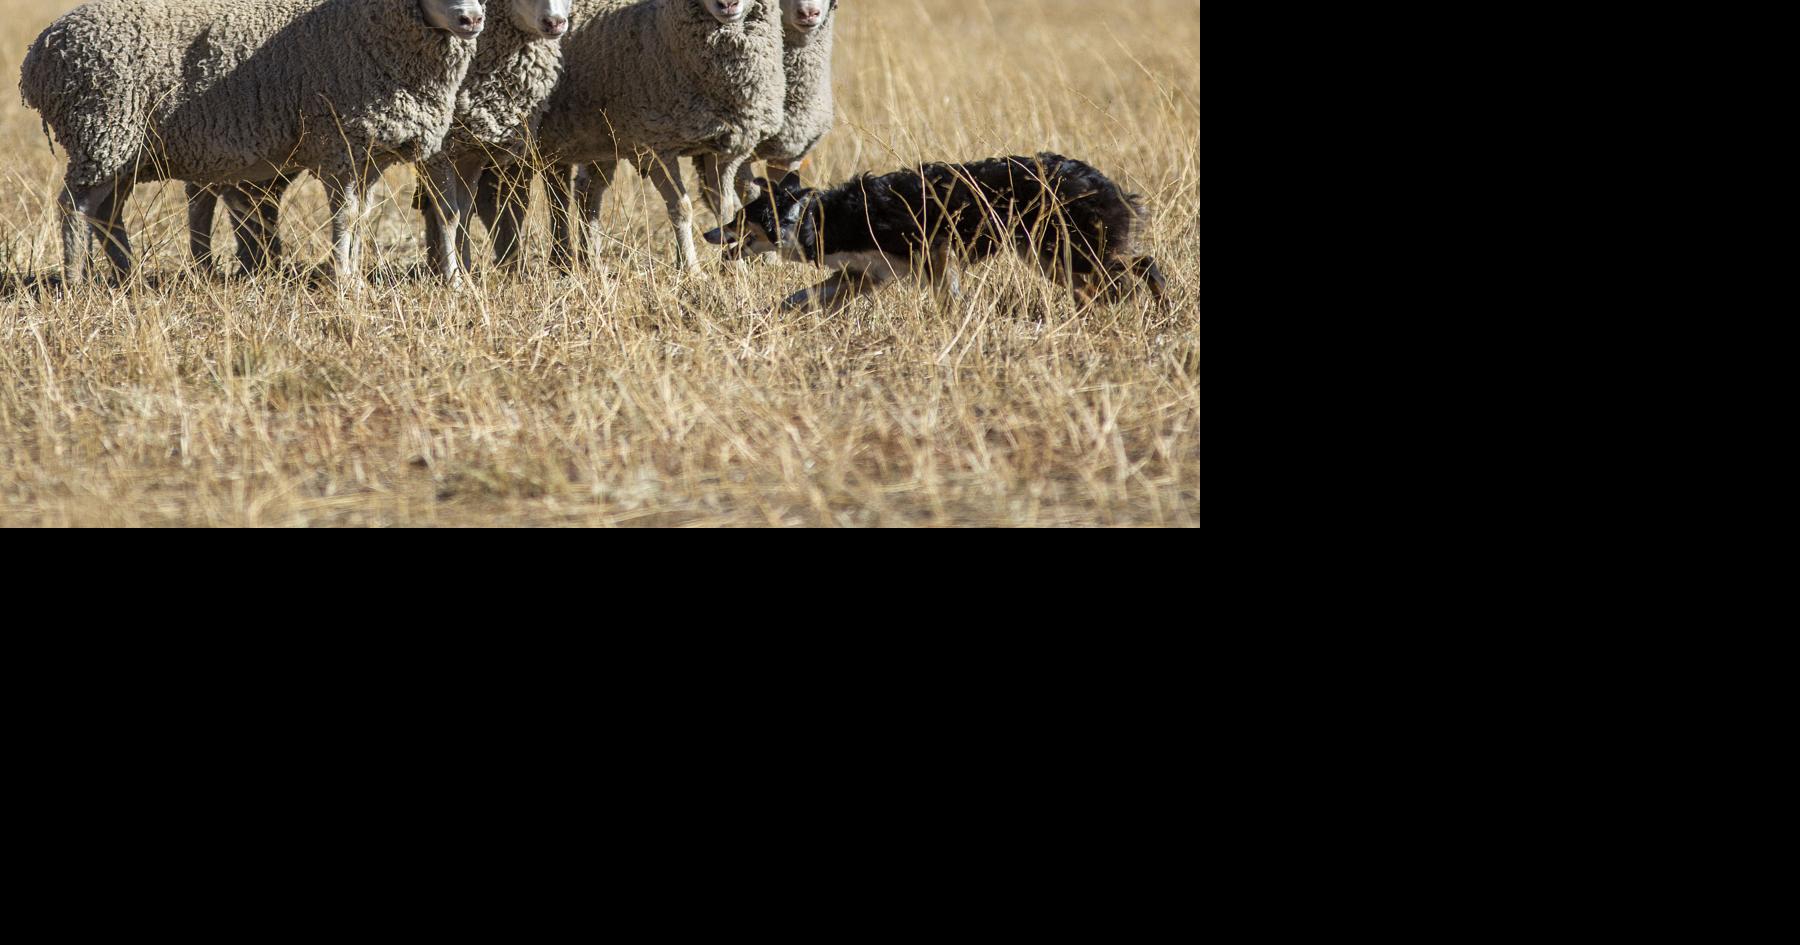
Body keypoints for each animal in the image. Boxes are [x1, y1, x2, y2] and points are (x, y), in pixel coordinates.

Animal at [19, 0, 487, 288]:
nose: (471, 19)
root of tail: (40, 49)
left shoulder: (370, 152)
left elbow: (367, 217)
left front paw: (356, 277)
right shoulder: (339, 143)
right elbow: (345, 217)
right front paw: (344, 282)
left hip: (122, 150)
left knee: (107, 212)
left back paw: (128, 277)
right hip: (101, 129)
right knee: (75, 207)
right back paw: (76, 282)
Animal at [183, 1, 572, 286]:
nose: (555, 23)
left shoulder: (472, 151)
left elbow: (462, 213)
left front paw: (461, 270)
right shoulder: (439, 151)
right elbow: (449, 212)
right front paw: (453, 276)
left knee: (243, 197)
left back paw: (254, 264)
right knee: (206, 195)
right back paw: (211, 267)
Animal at [477, 0, 786, 273]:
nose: (727, 5)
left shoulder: (726, 148)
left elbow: (727, 209)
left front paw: (736, 269)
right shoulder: (657, 146)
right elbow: (681, 208)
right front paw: (692, 269)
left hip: (591, 138)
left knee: (583, 193)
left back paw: (583, 262)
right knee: (537, 195)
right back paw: (546, 260)